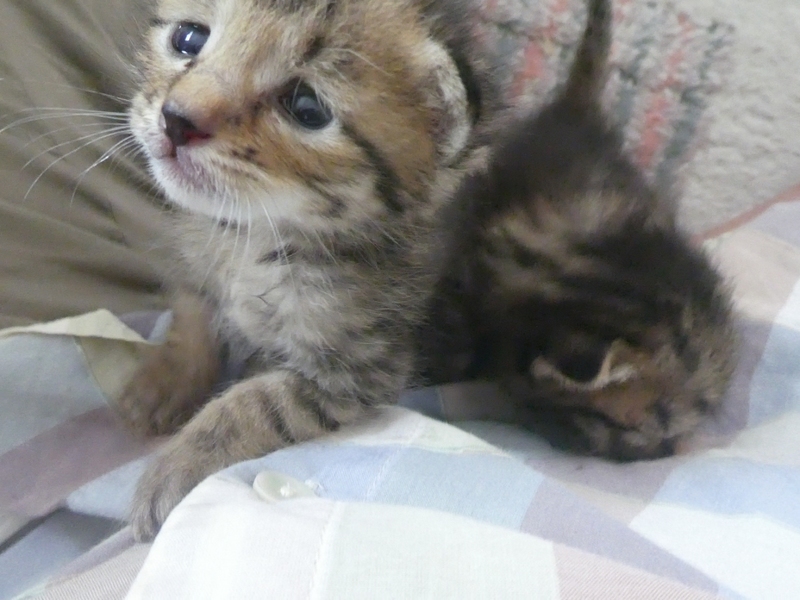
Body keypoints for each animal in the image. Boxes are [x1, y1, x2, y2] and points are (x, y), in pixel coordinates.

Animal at [118, 0, 501, 540]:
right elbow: (192, 315)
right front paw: (162, 383)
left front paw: (174, 469)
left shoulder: (358, 372)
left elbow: (255, 404)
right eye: (188, 39)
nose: (177, 119)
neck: (253, 237)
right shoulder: (197, 263)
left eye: (306, 108)